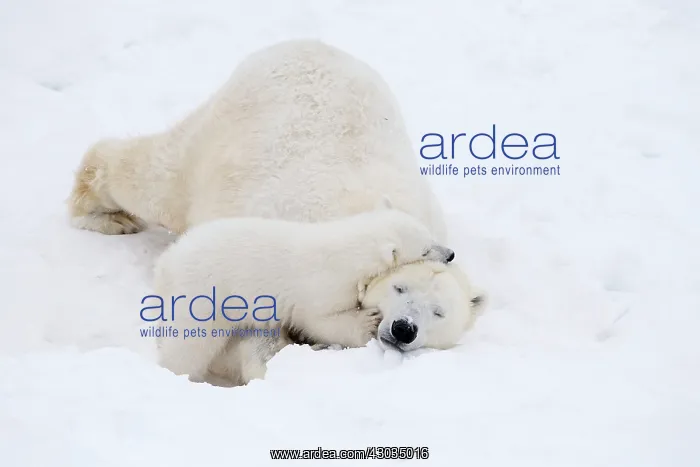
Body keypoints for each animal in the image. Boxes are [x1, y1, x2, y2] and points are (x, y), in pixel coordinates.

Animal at [153, 206, 456, 386]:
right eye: (426, 249)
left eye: (430, 235)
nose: (451, 254)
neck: (347, 251)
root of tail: (166, 263)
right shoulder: (324, 285)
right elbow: (318, 320)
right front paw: (367, 321)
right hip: (204, 295)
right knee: (190, 344)